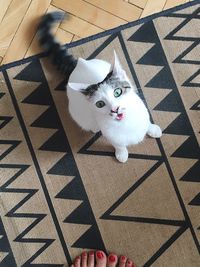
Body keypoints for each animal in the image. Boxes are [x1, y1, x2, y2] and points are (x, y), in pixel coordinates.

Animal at [38, 12, 162, 163]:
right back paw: (94, 128)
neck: (126, 123)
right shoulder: (112, 136)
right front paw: (122, 153)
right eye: (100, 104)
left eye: (117, 92)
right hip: (79, 114)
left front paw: (153, 129)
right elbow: (118, 144)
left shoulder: (144, 114)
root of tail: (78, 64)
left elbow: (147, 124)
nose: (115, 109)